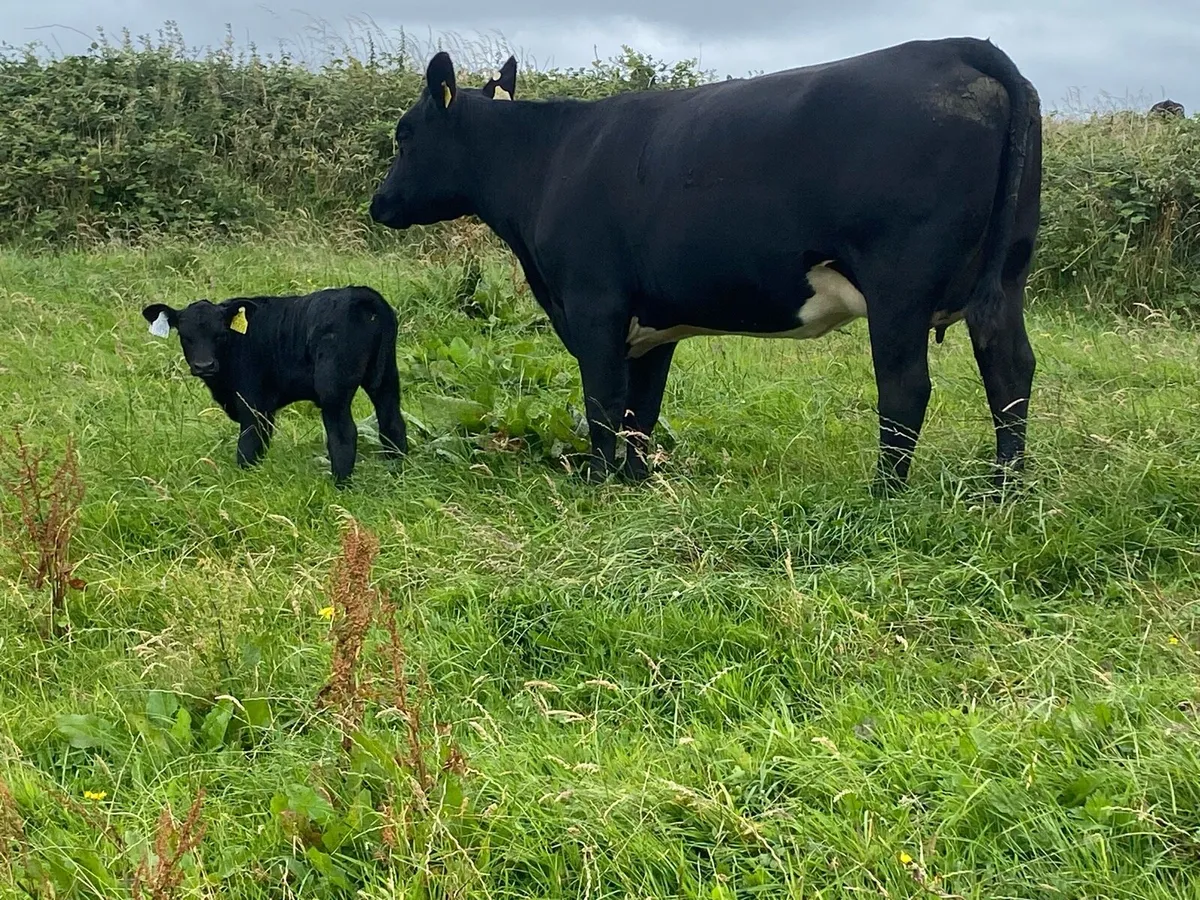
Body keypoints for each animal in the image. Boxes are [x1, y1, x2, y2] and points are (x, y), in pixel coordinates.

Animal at [141, 286, 408, 486]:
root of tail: (361, 294)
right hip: (386, 377)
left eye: (220, 334)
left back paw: (340, 484)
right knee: (392, 422)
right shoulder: (266, 407)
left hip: (333, 388)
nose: (204, 365)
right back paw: (397, 469)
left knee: (343, 434)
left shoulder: (252, 403)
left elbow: (248, 444)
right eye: (185, 336)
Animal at [368, 37, 1043, 496]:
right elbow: (641, 409)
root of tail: (960, 49)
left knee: (905, 386)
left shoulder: (593, 303)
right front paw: (635, 481)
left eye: (404, 135)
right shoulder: (651, 324)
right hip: (1006, 276)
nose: (379, 203)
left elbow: (603, 401)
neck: (548, 159)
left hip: (898, 286)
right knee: (1009, 370)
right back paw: (1005, 491)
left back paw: (885, 494)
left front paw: (597, 480)